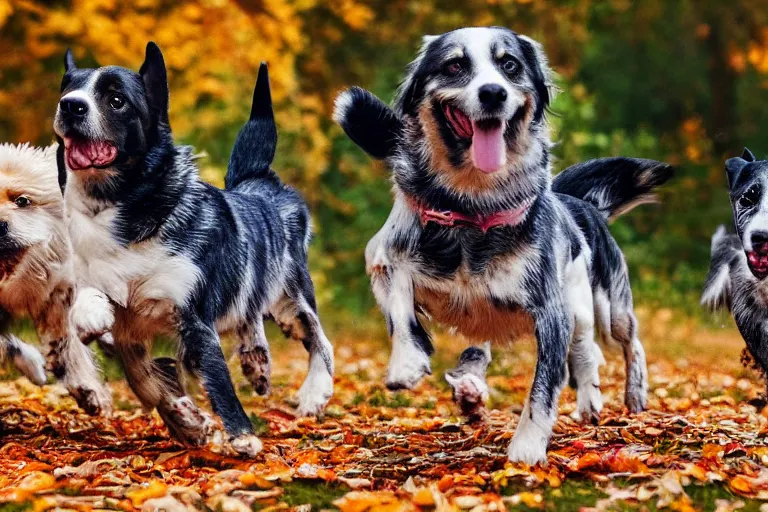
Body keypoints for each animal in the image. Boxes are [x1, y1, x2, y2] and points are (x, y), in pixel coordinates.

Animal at [51, 42, 332, 454]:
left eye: (116, 100)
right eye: (67, 91)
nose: (70, 106)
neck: (129, 208)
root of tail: (257, 180)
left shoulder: (194, 317)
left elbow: (215, 375)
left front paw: (242, 434)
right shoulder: (125, 327)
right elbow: (143, 377)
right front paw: (186, 419)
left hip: (291, 299)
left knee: (319, 340)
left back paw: (314, 391)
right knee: (249, 314)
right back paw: (256, 360)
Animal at [332, 27, 668, 464]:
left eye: (510, 64)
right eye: (454, 65)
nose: (493, 93)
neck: (472, 207)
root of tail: (580, 202)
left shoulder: (551, 312)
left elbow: (543, 390)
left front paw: (526, 449)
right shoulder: (383, 257)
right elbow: (401, 308)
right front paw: (407, 362)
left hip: (607, 308)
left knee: (618, 345)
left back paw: (629, 393)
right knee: (504, 352)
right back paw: (474, 389)